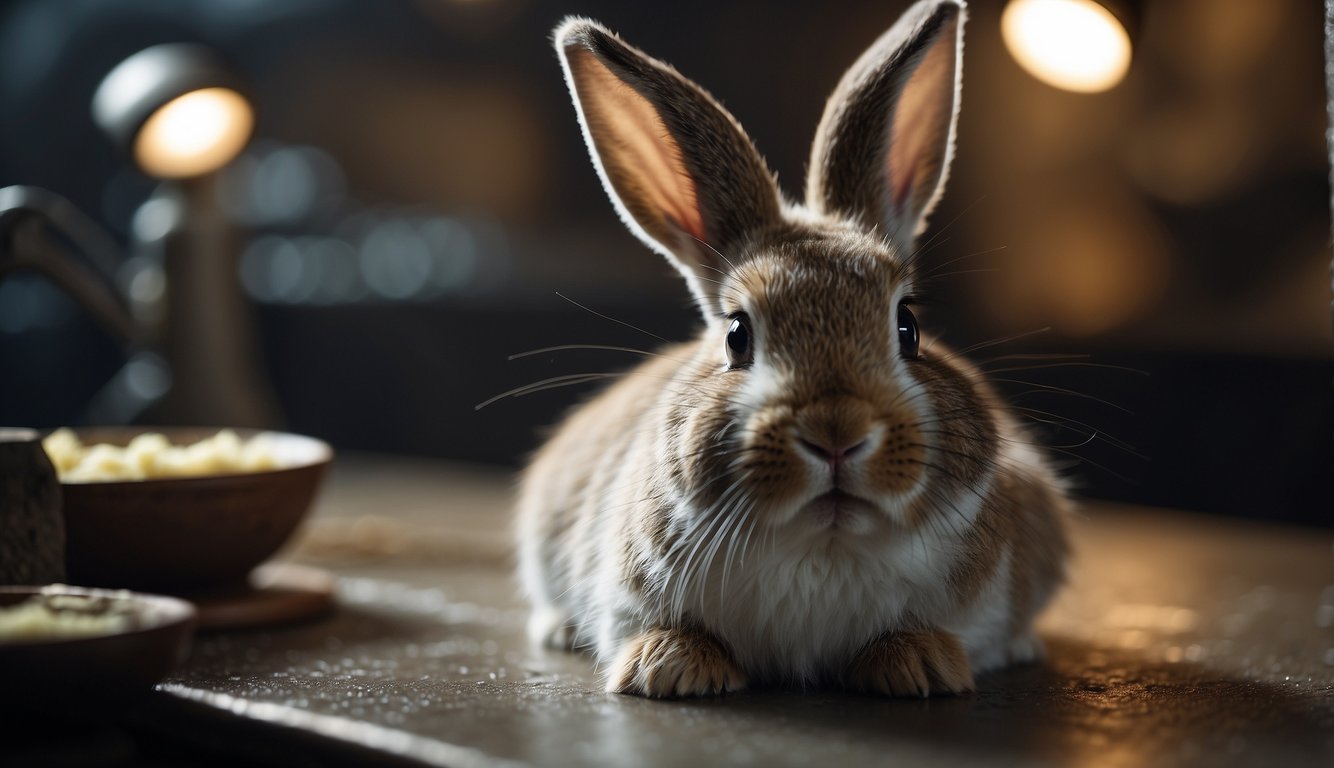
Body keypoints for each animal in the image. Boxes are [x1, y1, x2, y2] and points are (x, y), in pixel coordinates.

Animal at [516, 0, 1070, 699]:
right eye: (737, 335)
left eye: (908, 327)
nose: (837, 433)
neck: (821, 546)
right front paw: (669, 667)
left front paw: (919, 665)